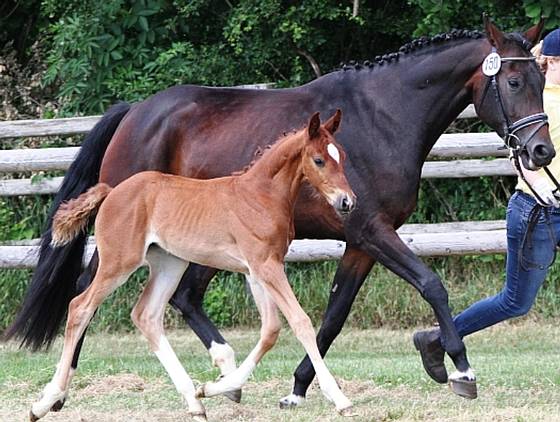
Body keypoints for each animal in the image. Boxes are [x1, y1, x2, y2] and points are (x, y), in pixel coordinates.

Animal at [29, 110, 354, 420]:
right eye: (319, 160)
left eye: (342, 155)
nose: (347, 202)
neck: (260, 195)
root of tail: (111, 191)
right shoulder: (266, 266)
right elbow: (300, 322)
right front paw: (340, 400)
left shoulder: (258, 270)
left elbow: (270, 330)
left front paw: (213, 388)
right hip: (118, 262)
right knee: (80, 307)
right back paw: (45, 402)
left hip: (169, 263)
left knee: (146, 315)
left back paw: (194, 402)